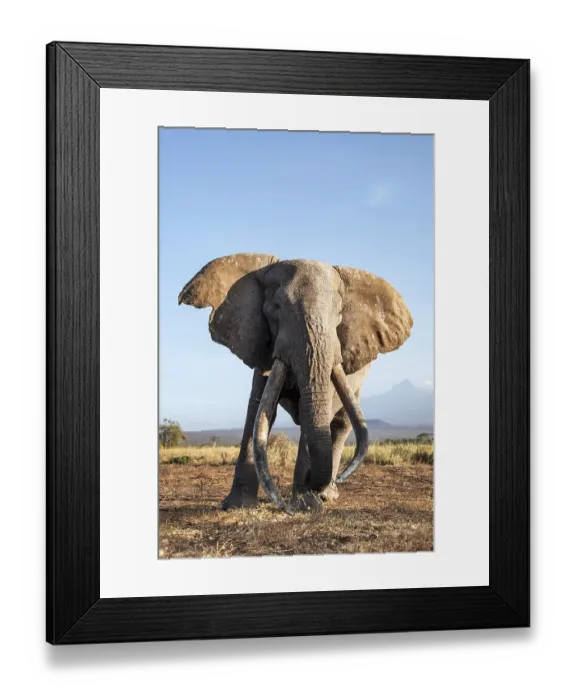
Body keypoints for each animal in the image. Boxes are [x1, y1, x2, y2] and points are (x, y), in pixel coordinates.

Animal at [178, 254, 413, 513]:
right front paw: (237, 506)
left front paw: (306, 505)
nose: (286, 505)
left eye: (338, 314)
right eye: (276, 309)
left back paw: (327, 495)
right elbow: (258, 410)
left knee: (341, 423)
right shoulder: (262, 344)